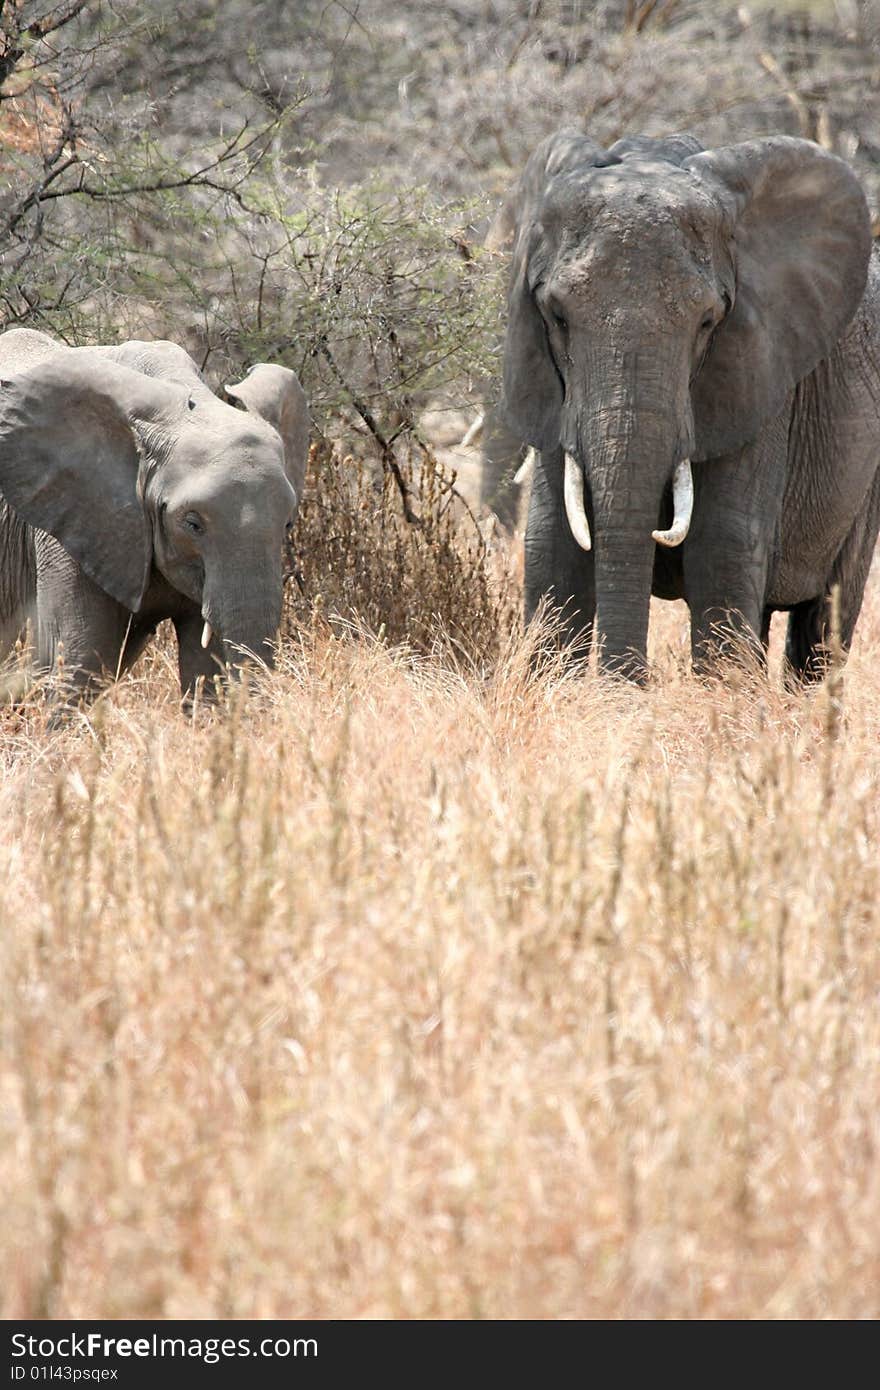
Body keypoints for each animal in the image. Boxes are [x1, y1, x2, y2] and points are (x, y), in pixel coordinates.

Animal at [497, 127, 878, 681]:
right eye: (557, 317)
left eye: (707, 323)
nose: (631, 688)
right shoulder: (554, 394)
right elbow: (555, 550)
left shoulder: (758, 375)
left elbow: (722, 550)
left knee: (824, 623)